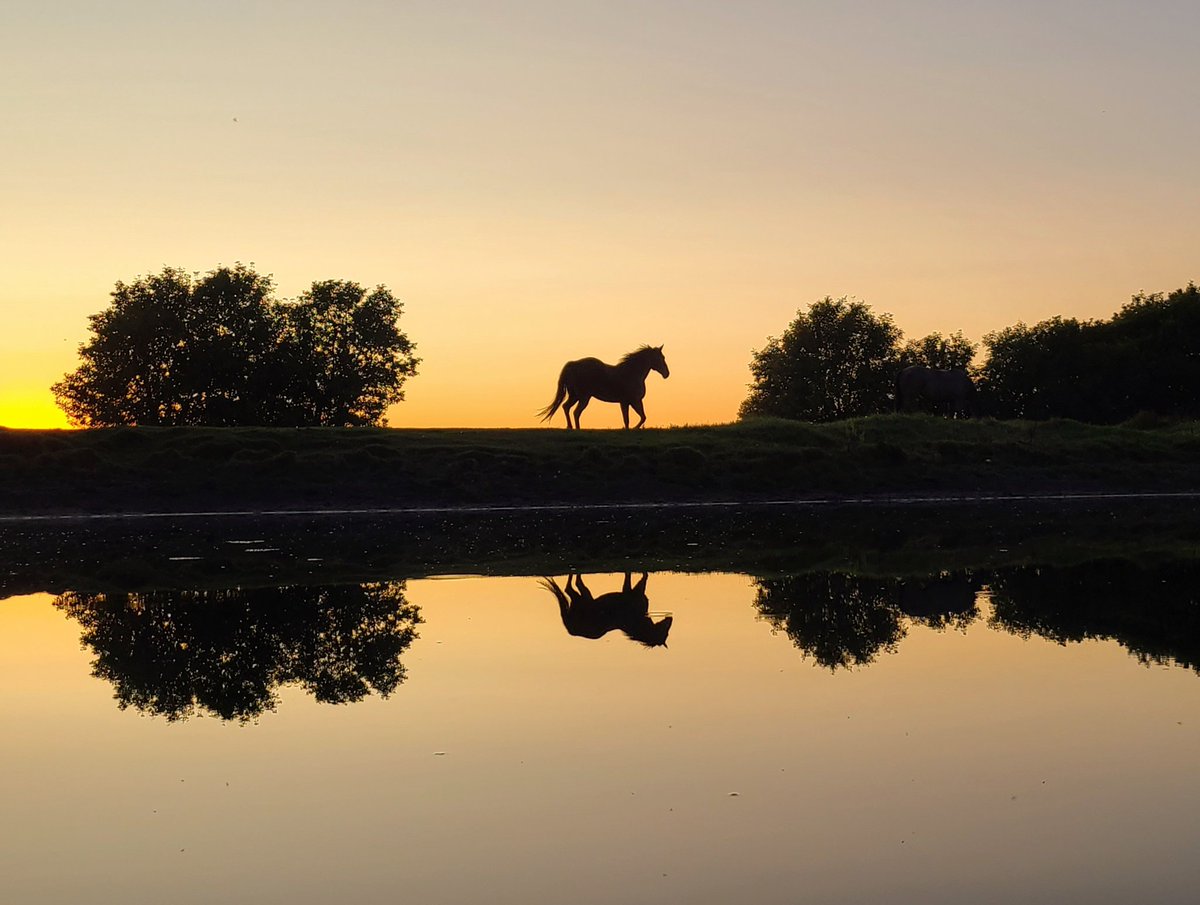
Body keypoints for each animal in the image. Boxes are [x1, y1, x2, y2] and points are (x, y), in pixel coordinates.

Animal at [538, 345, 669, 429]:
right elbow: (640, 417)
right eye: (661, 358)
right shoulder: (633, 401)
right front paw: (634, 429)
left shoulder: (626, 402)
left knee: (566, 407)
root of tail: (572, 365)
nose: (667, 374)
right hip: (583, 397)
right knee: (576, 412)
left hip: (575, 396)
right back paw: (578, 429)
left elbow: (629, 419)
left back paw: (570, 427)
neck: (631, 373)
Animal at [539, 572, 673, 647]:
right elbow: (638, 577)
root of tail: (570, 629)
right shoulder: (632, 592)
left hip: (583, 598)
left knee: (572, 587)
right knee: (571, 587)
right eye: (665, 633)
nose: (670, 617)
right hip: (583, 599)